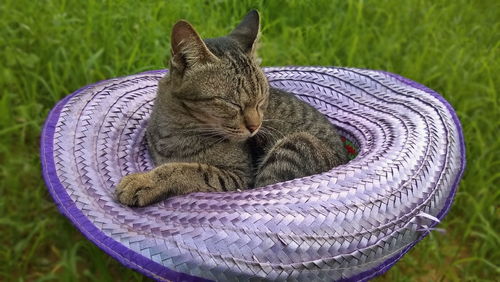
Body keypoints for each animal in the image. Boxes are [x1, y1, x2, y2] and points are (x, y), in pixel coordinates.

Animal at [115, 9, 348, 206]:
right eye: (231, 103)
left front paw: (144, 181)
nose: (255, 126)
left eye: (261, 99)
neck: (178, 131)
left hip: (297, 143)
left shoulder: (240, 176)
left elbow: (189, 169)